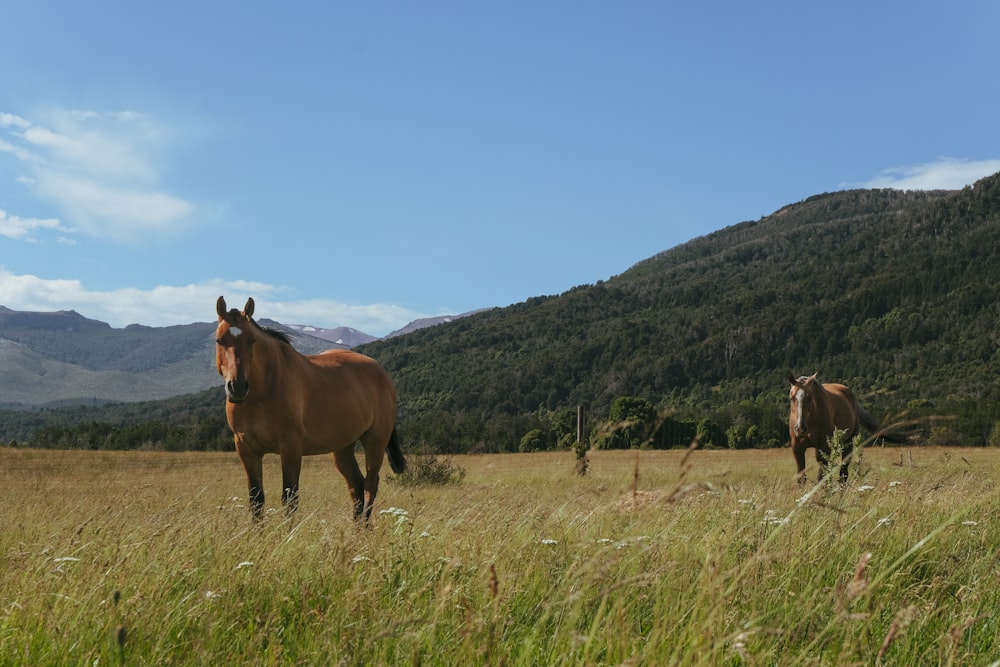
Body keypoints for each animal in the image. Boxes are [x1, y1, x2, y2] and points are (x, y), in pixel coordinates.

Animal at [216, 298, 406, 520]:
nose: (237, 387)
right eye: (219, 340)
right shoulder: (247, 449)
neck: (262, 393)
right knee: (357, 486)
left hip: (375, 441)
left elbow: (290, 498)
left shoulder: (291, 447)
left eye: (251, 340)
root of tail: (383, 374)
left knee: (370, 486)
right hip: (342, 447)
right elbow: (256, 500)